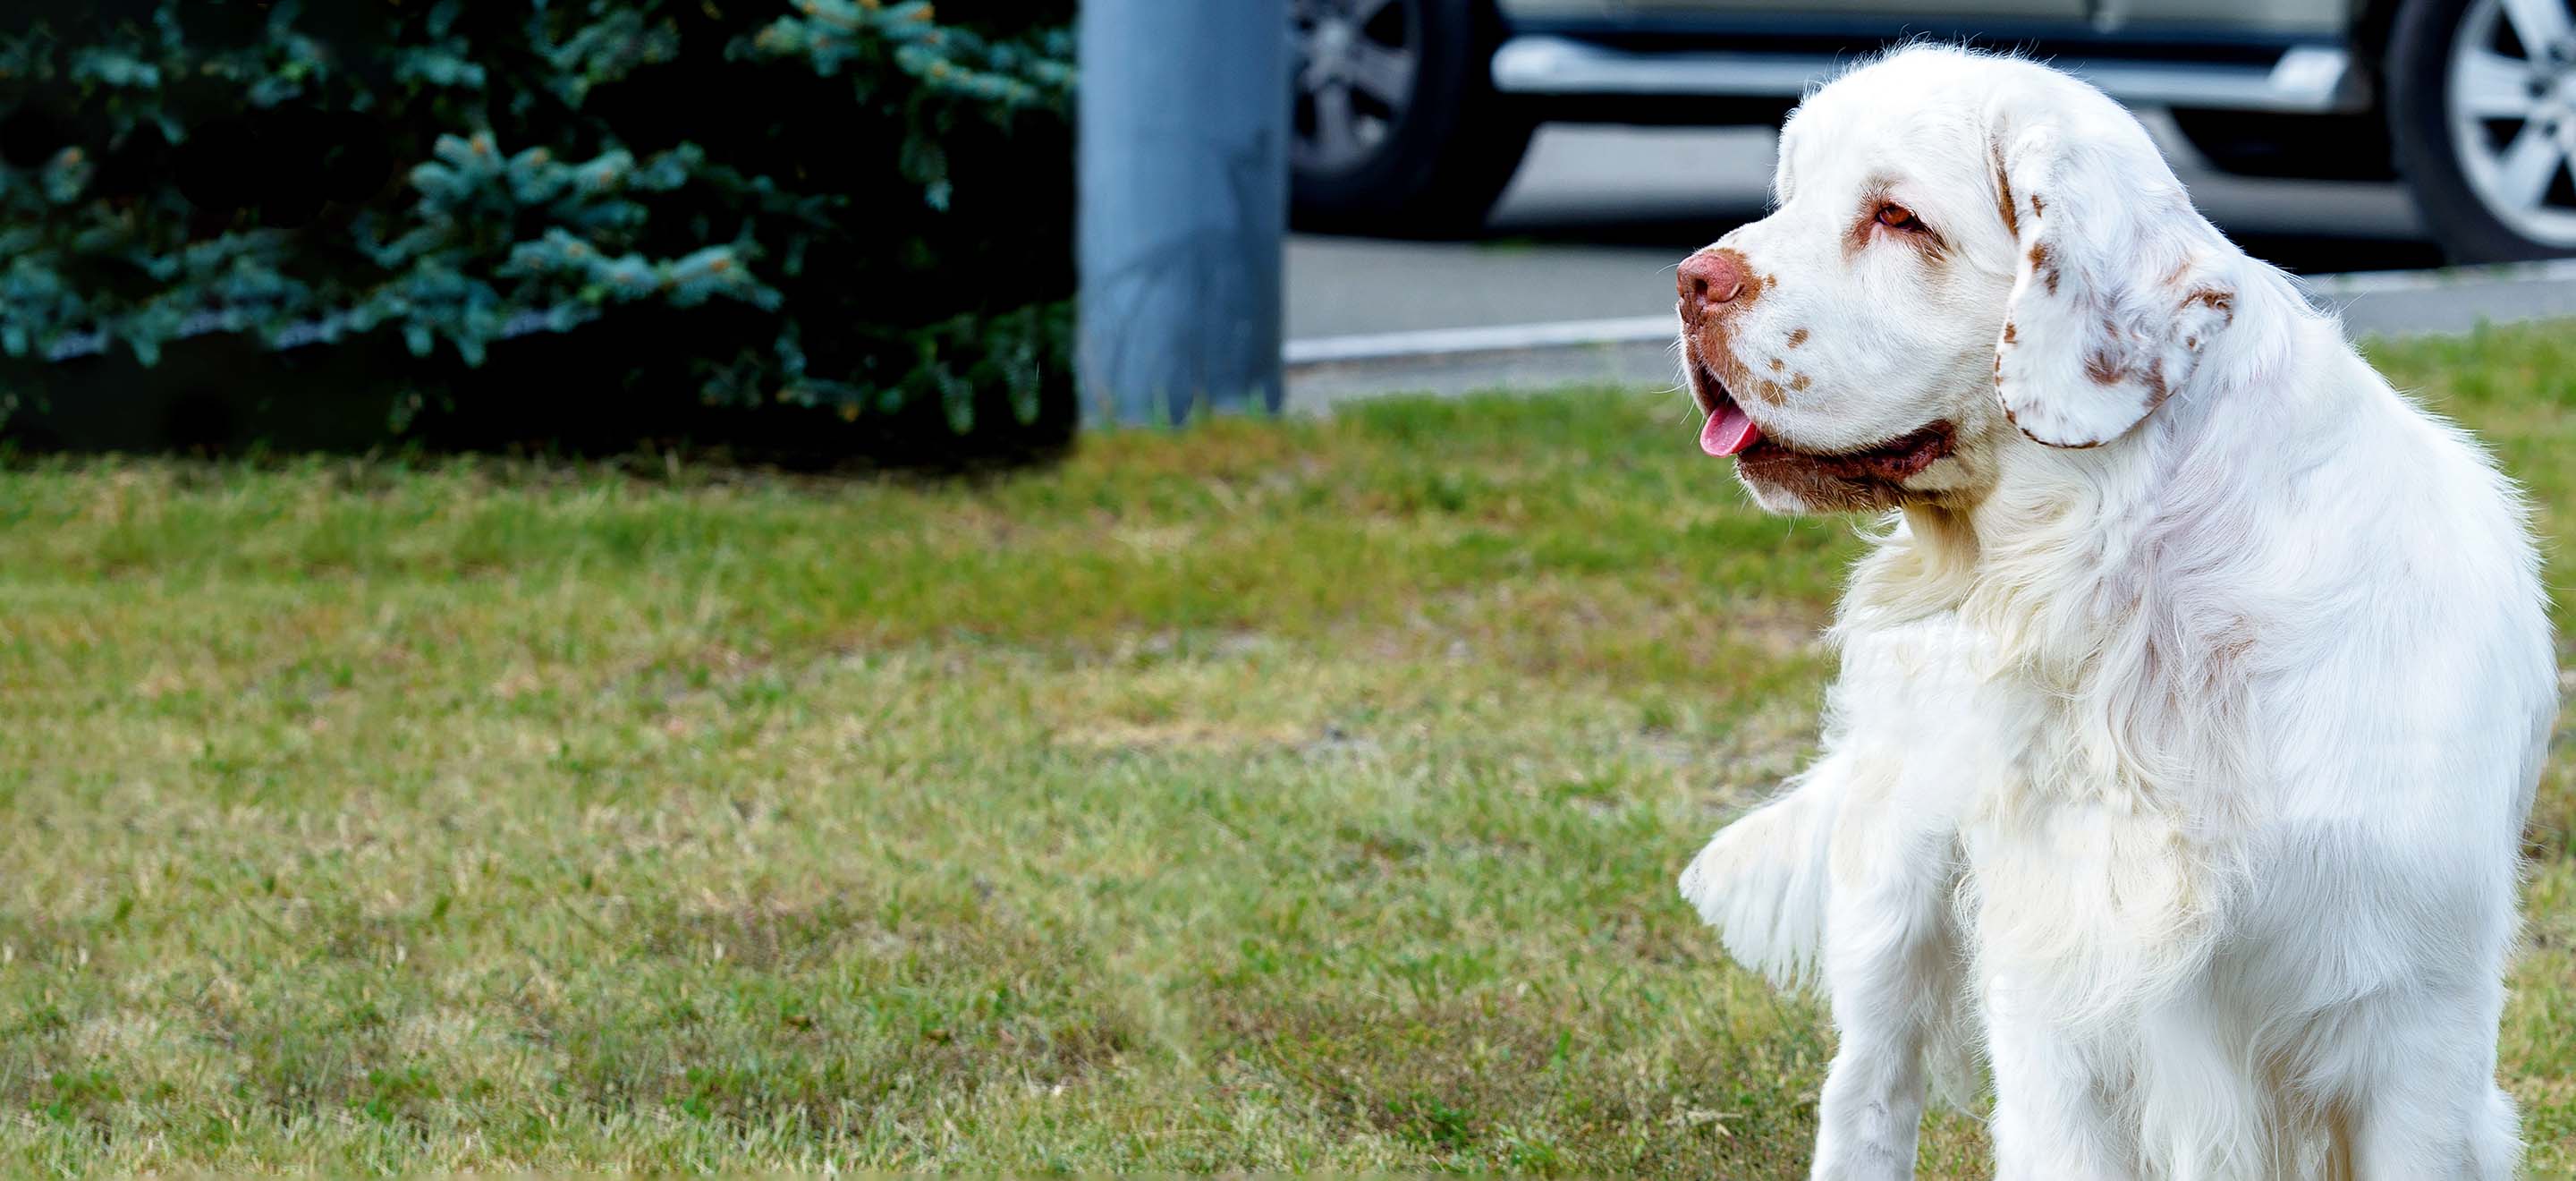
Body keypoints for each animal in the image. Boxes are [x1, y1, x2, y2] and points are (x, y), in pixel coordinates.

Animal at [1679, 46, 2545, 1181]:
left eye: (1898, 218)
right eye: (1791, 197)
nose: (1691, 282)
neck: (2139, 608)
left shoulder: (2414, 1027)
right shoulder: (2057, 996)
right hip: (1895, 881)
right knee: (1868, 1089)